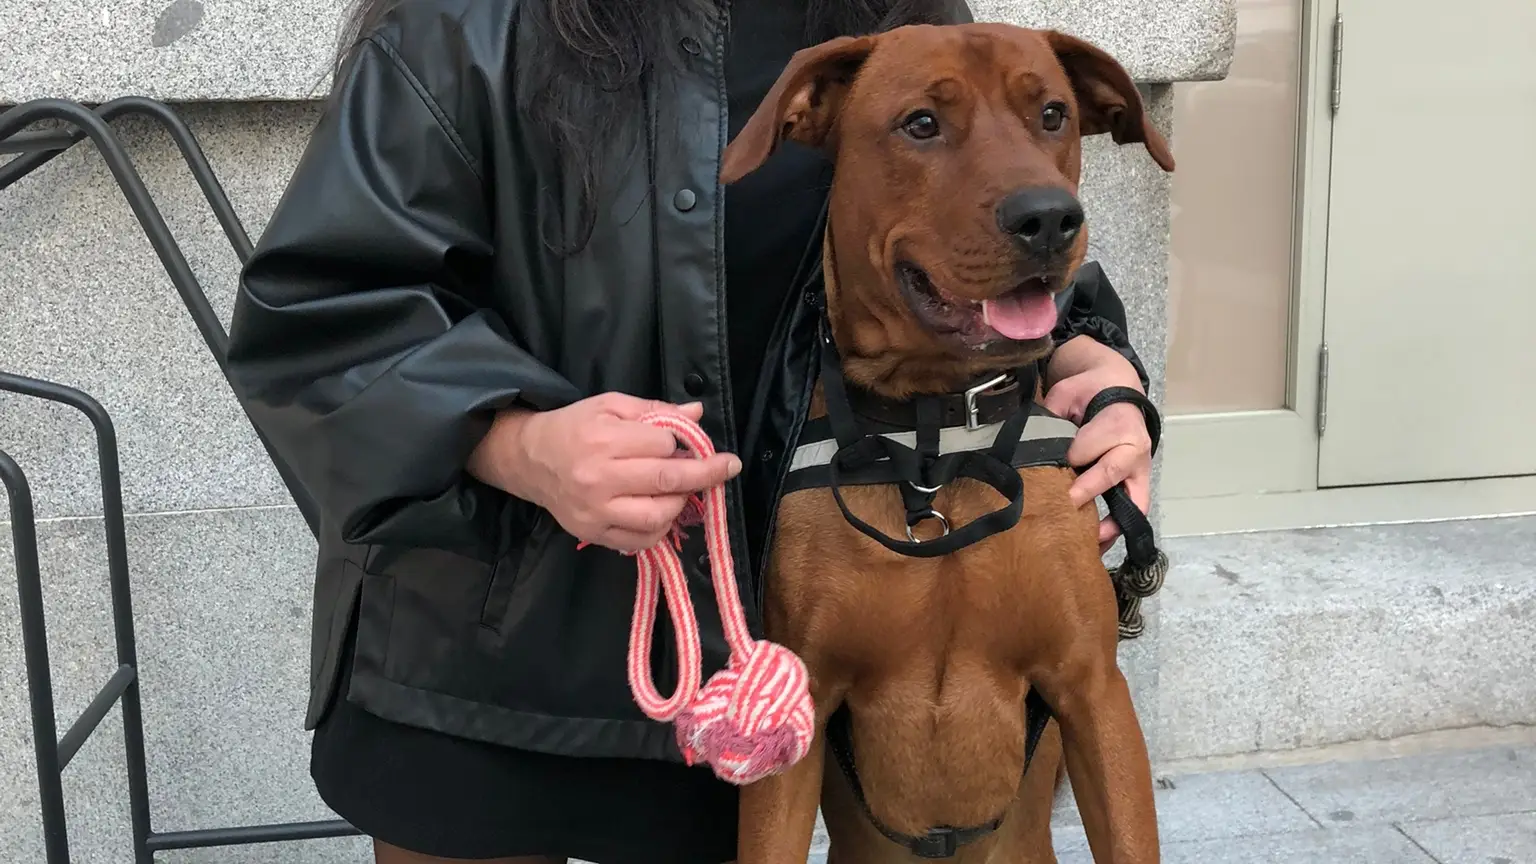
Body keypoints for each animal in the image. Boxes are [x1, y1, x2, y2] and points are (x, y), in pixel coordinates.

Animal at [718, 20, 1173, 860]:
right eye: (922, 124)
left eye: (1053, 115)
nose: (1049, 218)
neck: (937, 433)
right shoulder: (797, 710)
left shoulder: (1093, 692)